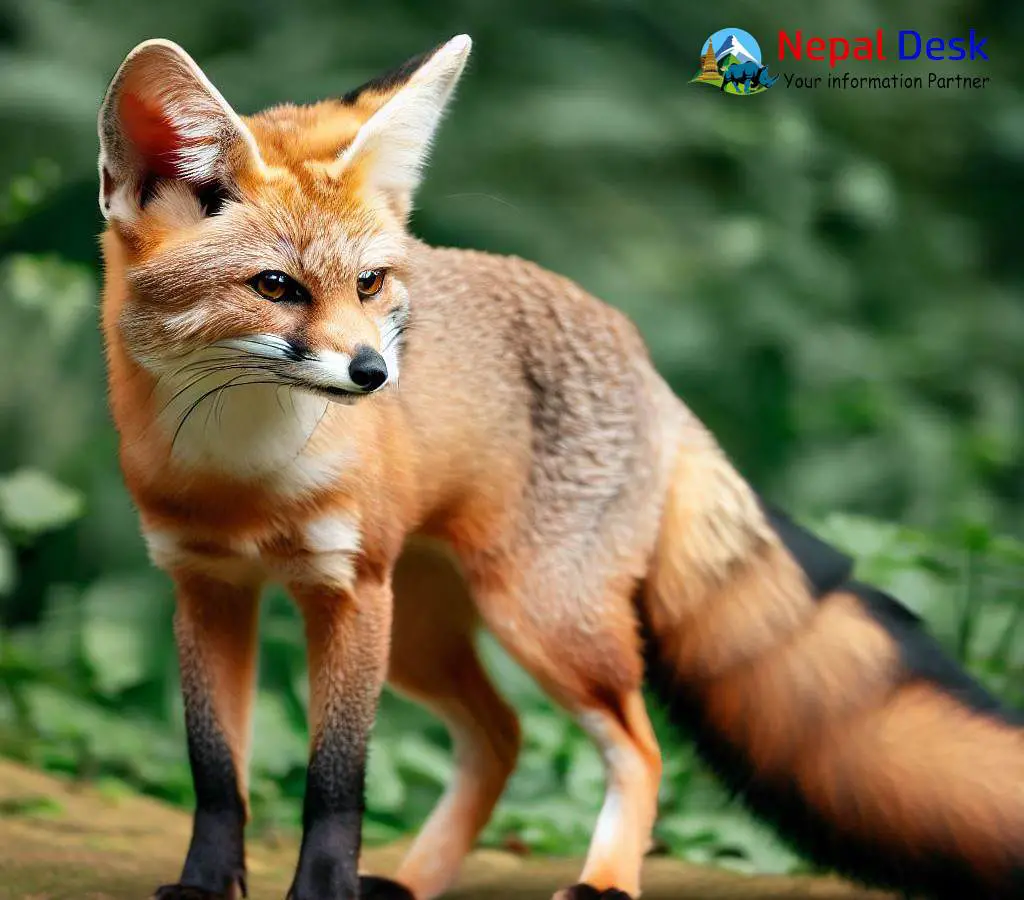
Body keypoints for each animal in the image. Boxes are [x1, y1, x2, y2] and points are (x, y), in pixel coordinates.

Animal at [95, 33, 1024, 900]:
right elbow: (218, 776)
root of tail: (643, 357)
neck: (246, 478)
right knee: (501, 736)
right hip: (423, 636)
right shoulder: (206, 587)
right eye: (276, 287)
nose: (374, 374)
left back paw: (605, 879)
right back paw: (417, 880)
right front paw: (205, 887)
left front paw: (325, 891)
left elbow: (336, 784)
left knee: (638, 749)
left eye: (368, 284)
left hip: (539, 620)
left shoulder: (347, 591)